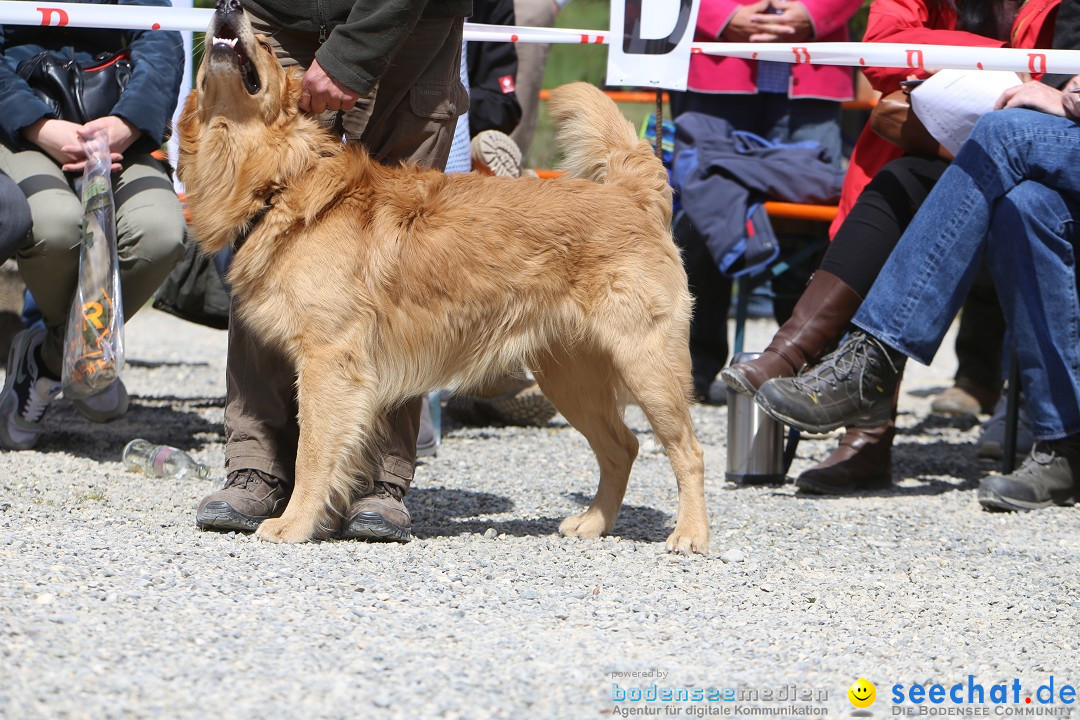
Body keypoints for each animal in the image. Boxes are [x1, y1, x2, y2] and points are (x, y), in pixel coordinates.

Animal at [179, 5, 708, 557]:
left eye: (262, 44)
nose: (228, 7)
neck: (284, 179)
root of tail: (629, 194)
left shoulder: (329, 362)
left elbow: (313, 452)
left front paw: (295, 523)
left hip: (647, 365)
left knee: (687, 451)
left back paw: (690, 533)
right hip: (570, 376)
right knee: (622, 446)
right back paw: (593, 522)